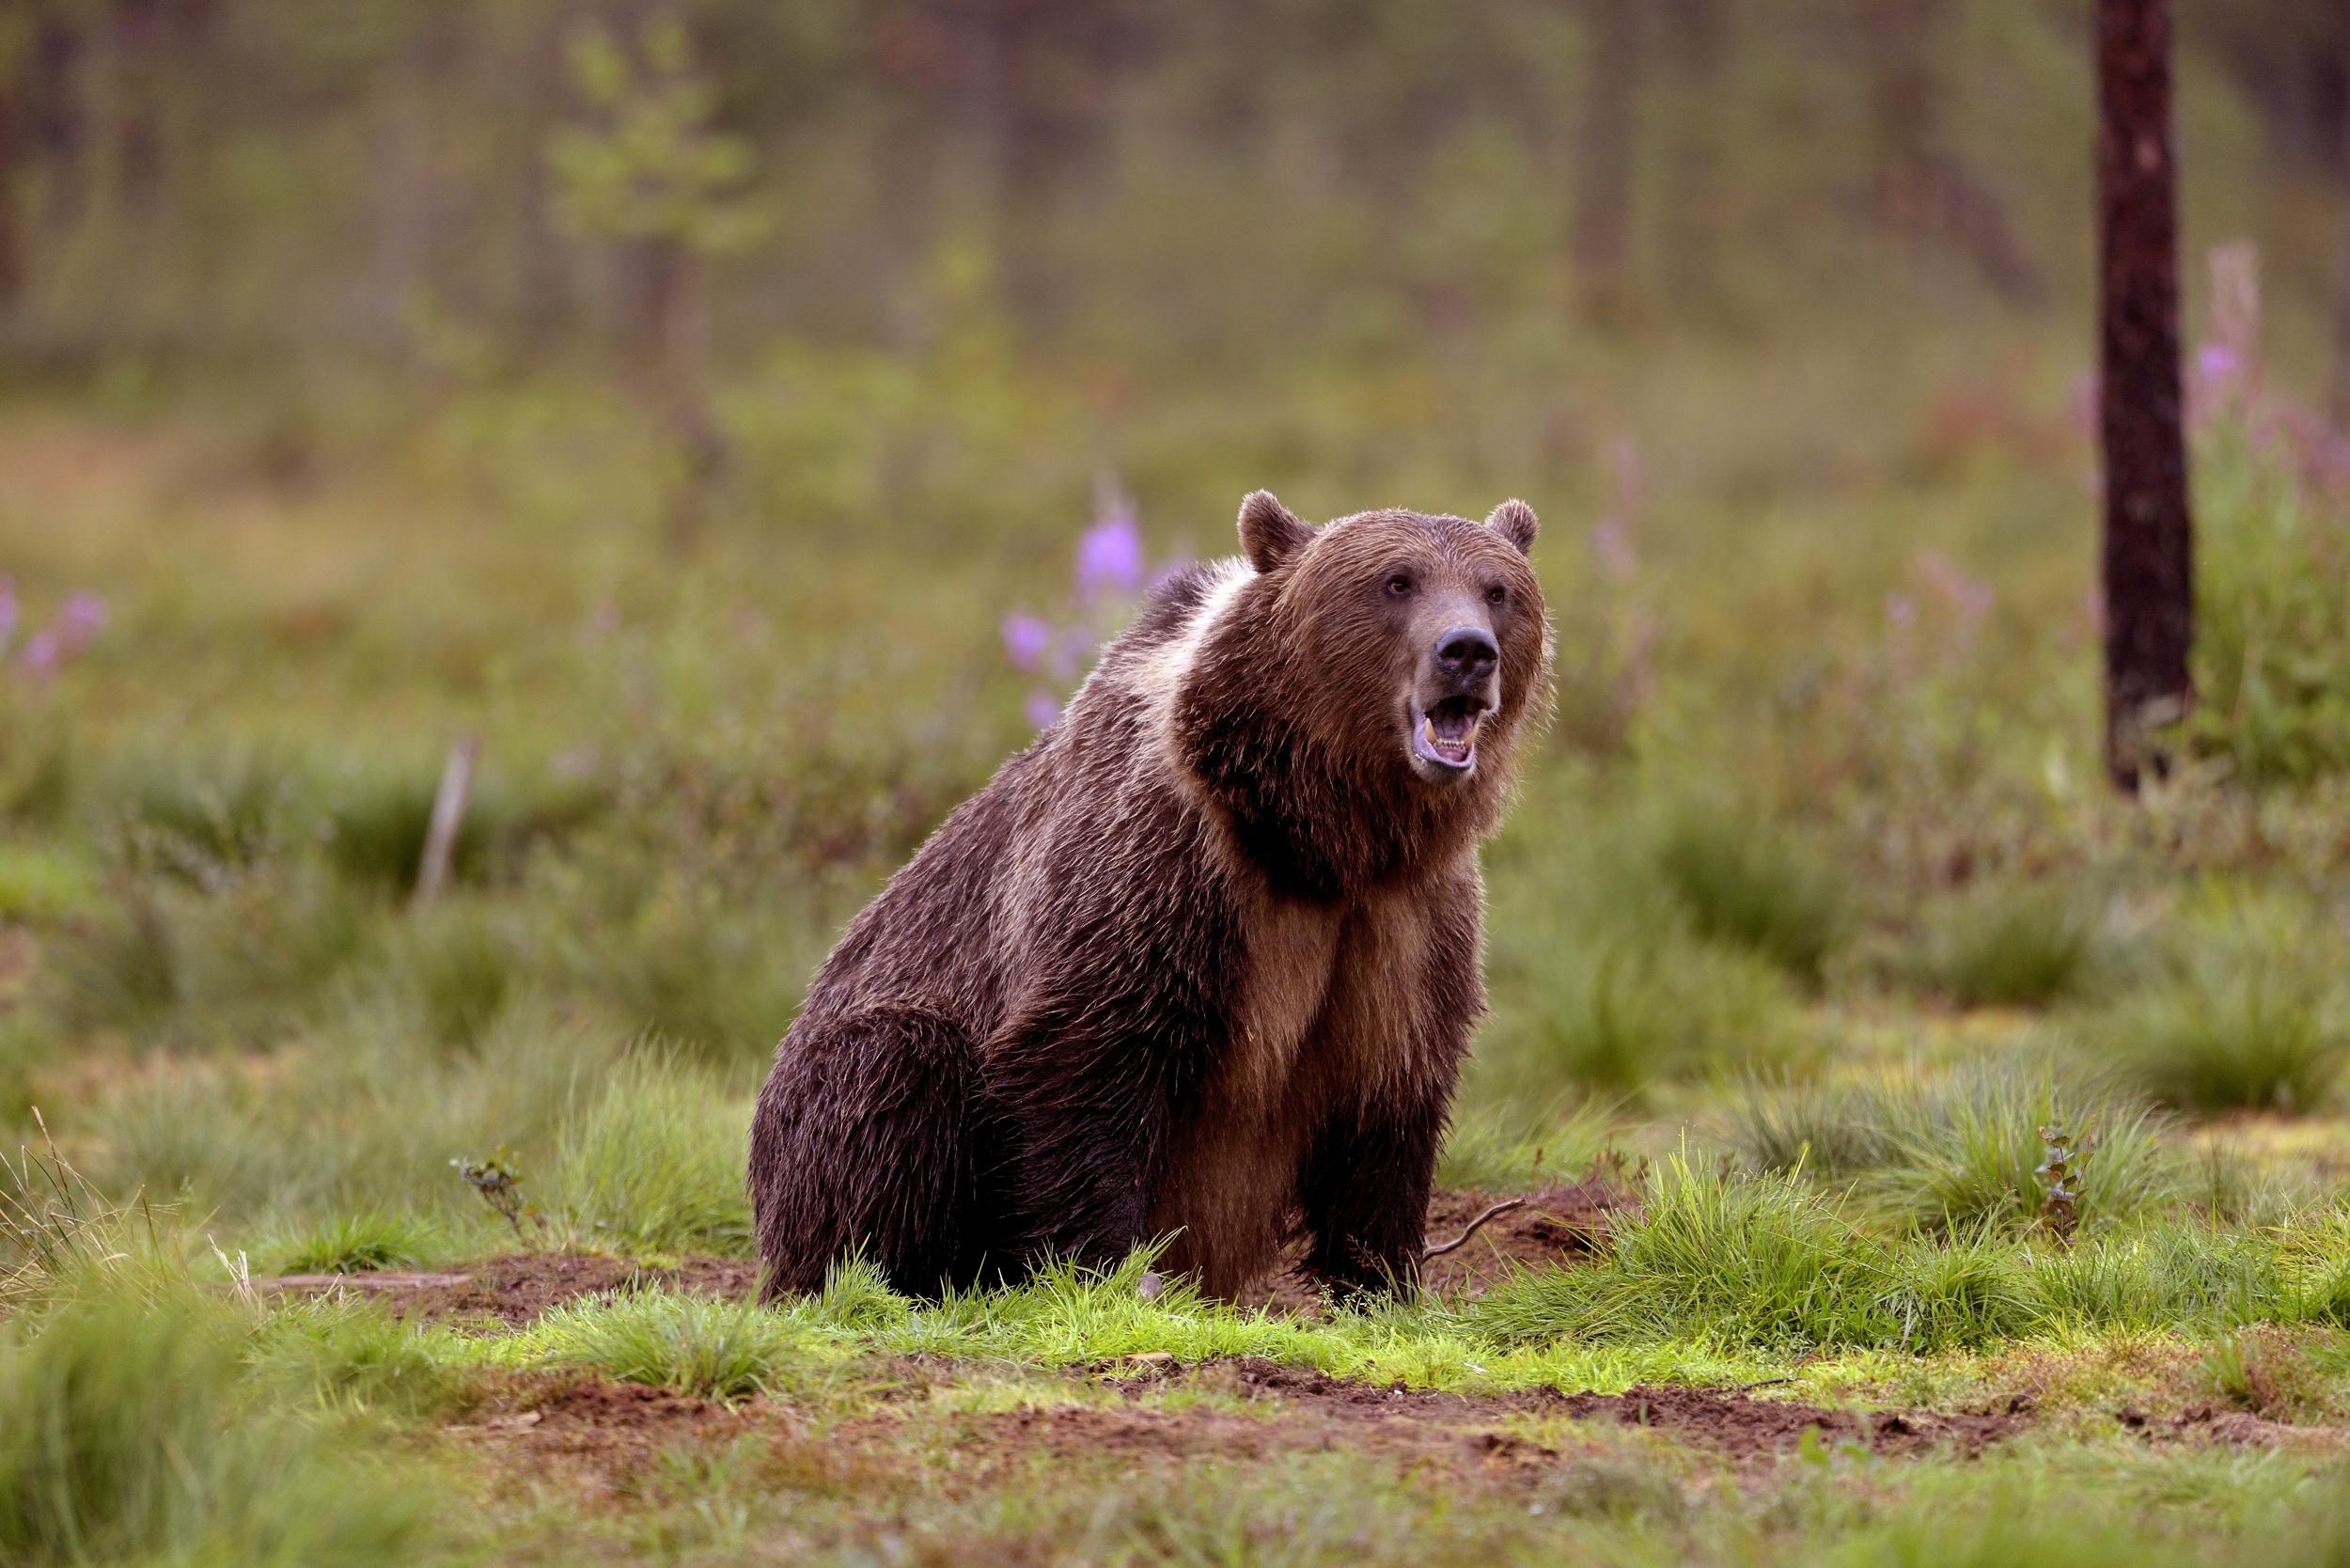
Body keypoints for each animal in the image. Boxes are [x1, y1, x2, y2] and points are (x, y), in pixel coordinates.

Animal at [748, 491, 1551, 1301]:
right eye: (1396, 581)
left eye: (1497, 590)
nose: (1467, 650)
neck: (1316, 842)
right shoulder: (1162, 868)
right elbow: (1086, 1058)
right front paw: (1111, 1272)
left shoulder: (1408, 918)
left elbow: (1389, 1098)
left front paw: (1383, 1282)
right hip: (814, 1105)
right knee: (898, 1066)